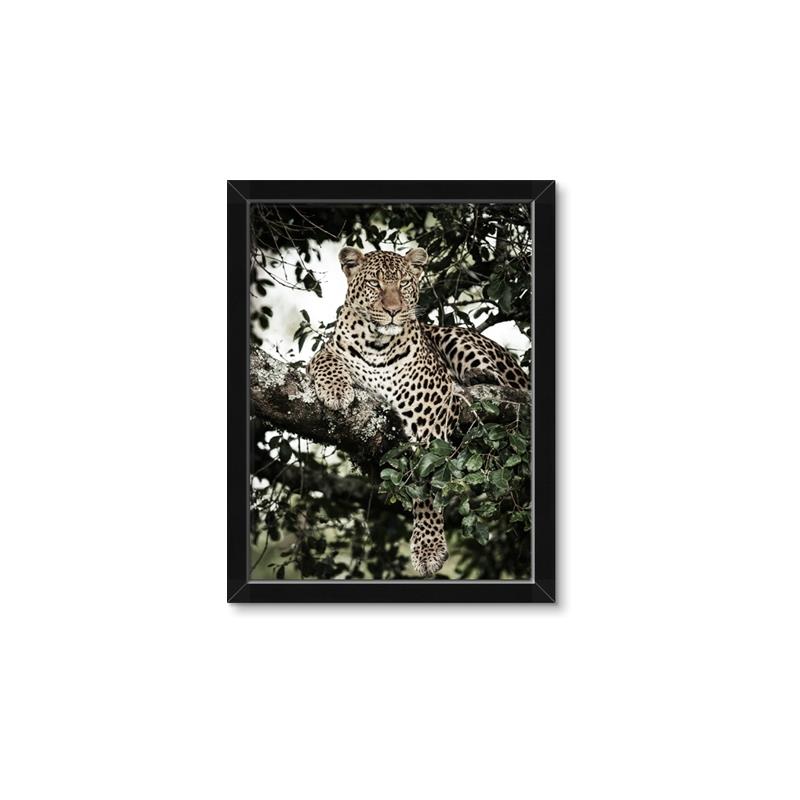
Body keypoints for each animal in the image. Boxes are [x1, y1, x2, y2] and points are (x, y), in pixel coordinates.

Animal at [308, 245, 528, 576]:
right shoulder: (331, 351)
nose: (393, 310)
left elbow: (427, 484)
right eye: (374, 284)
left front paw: (428, 548)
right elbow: (324, 357)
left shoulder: (430, 412)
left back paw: (473, 380)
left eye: (404, 284)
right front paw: (335, 390)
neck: (376, 344)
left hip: (458, 339)